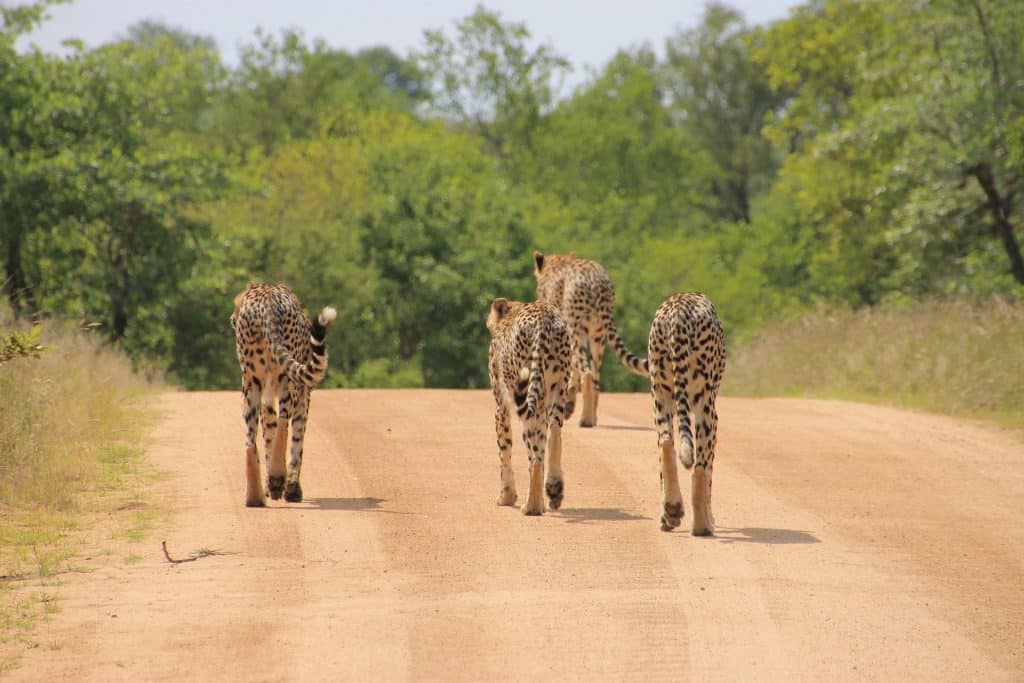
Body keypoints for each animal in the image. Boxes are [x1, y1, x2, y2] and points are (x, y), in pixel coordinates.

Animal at [229, 282, 335, 507]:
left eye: (236, 303)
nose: (232, 318)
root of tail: (266, 301)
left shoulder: (267, 396)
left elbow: (268, 434)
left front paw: (273, 486)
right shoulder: (304, 395)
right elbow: (296, 441)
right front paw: (290, 487)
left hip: (251, 384)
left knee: (250, 439)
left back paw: (255, 496)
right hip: (288, 380)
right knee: (284, 422)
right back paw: (278, 479)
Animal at [483, 296, 573, 516]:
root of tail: (544, 317)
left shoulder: (501, 405)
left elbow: (504, 450)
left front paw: (506, 496)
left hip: (530, 394)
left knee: (536, 453)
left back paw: (531, 506)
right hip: (558, 388)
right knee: (554, 434)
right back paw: (554, 488)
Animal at [532, 250, 643, 428]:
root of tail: (597, 281)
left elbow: (572, 369)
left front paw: (568, 405)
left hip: (577, 329)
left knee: (588, 373)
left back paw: (586, 419)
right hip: (598, 335)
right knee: (596, 375)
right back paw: (592, 416)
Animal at [651, 292, 724, 532]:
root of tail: (678, 311)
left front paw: (667, 517)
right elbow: (709, 470)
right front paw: (710, 517)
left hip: (661, 394)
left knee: (665, 443)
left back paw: (672, 510)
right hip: (705, 406)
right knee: (700, 465)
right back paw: (703, 525)